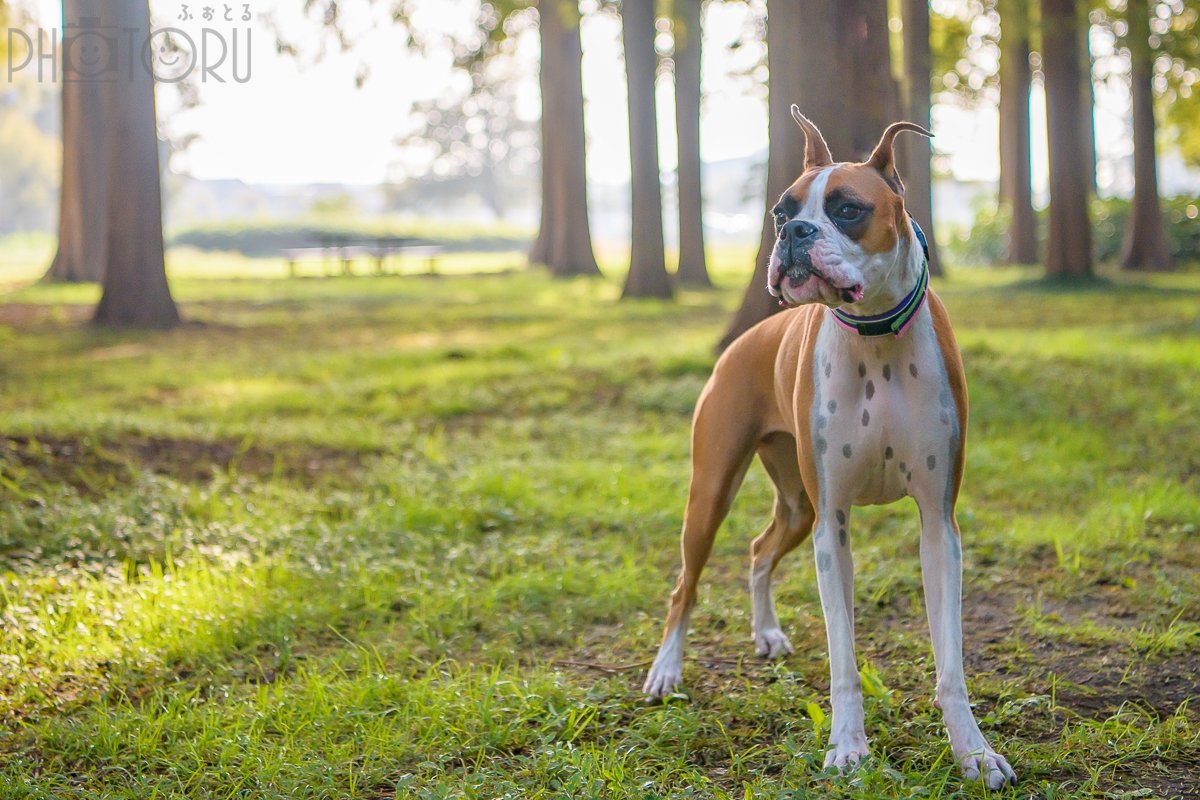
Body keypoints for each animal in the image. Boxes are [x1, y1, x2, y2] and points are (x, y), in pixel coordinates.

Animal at [643, 109, 1017, 791]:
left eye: (847, 209)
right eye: (779, 211)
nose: (794, 232)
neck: (876, 337)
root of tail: (743, 341)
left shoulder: (937, 525)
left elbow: (950, 661)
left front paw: (973, 752)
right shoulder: (833, 527)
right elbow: (844, 656)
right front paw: (847, 747)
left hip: (797, 508)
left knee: (759, 549)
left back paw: (766, 633)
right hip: (714, 495)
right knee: (685, 585)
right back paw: (665, 671)